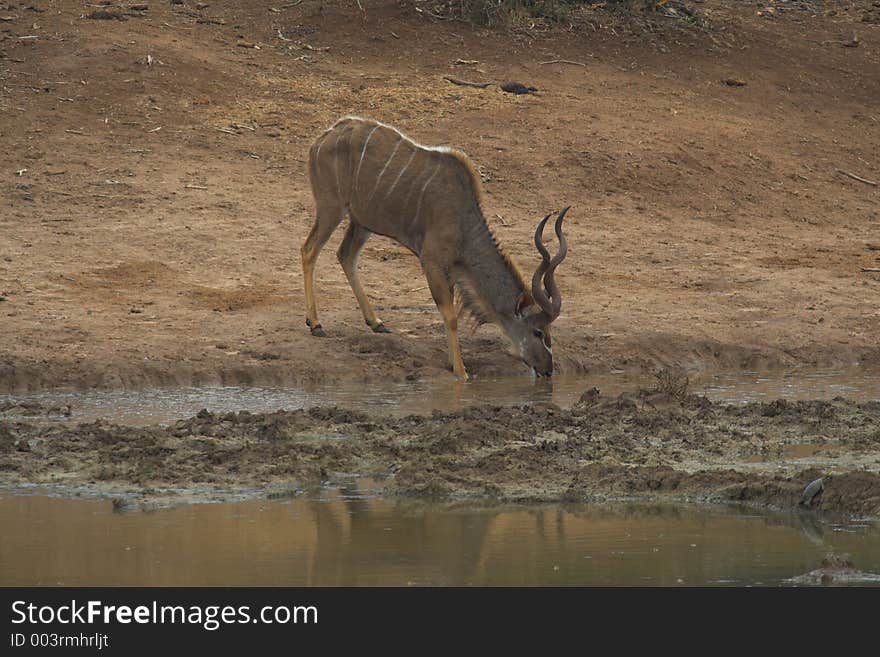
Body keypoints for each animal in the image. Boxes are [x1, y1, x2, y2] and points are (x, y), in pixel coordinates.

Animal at [302, 115, 572, 376]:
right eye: (538, 332)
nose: (548, 370)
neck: (463, 221)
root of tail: (323, 138)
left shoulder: (449, 270)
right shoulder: (431, 262)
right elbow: (450, 316)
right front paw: (461, 372)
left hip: (362, 222)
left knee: (345, 255)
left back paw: (376, 322)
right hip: (331, 207)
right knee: (309, 250)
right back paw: (316, 324)